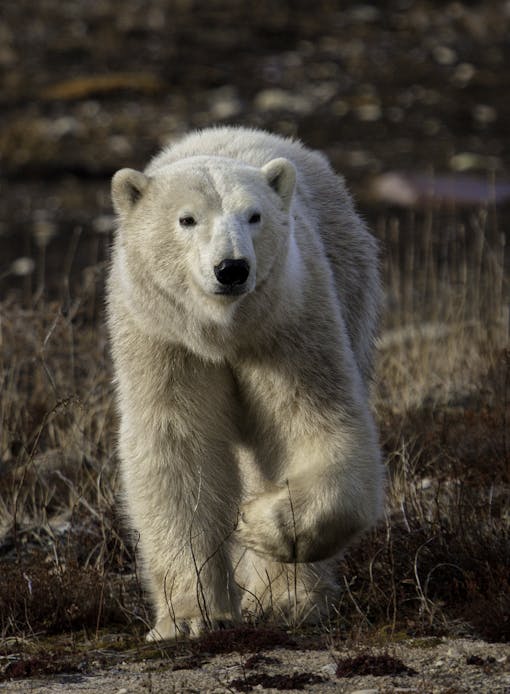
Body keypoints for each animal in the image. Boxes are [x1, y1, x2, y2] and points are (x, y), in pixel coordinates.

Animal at [108, 126, 386, 640]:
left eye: (254, 216)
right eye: (187, 219)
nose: (232, 268)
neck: (224, 334)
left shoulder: (290, 326)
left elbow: (312, 428)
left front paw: (258, 524)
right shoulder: (164, 342)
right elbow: (179, 454)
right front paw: (191, 619)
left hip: (351, 286)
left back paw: (287, 601)